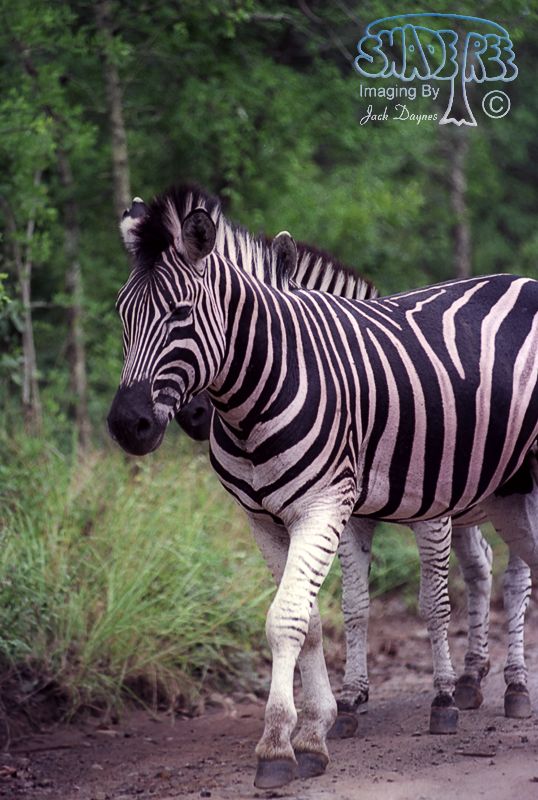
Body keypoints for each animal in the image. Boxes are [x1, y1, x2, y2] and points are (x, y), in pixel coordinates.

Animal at [107, 186, 538, 789]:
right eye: (122, 314)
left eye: (181, 314)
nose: (129, 425)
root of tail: (521, 279)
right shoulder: (282, 519)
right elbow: (328, 614)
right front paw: (331, 718)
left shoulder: (364, 508)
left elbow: (420, 604)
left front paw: (285, 743)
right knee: (483, 572)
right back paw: (477, 678)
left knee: (514, 582)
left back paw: (512, 686)